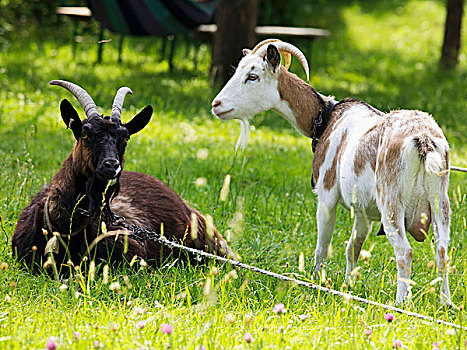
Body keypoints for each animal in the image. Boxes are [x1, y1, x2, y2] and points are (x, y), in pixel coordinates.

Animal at [213, 39, 454, 304]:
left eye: (253, 76)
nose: (217, 105)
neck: (326, 119)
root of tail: (423, 140)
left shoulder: (326, 195)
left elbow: (323, 244)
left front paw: (315, 282)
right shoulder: (363, 212)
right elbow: (353, 247)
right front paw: (349, 285)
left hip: (392, 202)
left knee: (404, 252)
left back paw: (401, 302)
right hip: (440, 201)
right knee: (443, 251)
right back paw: (446, 303)